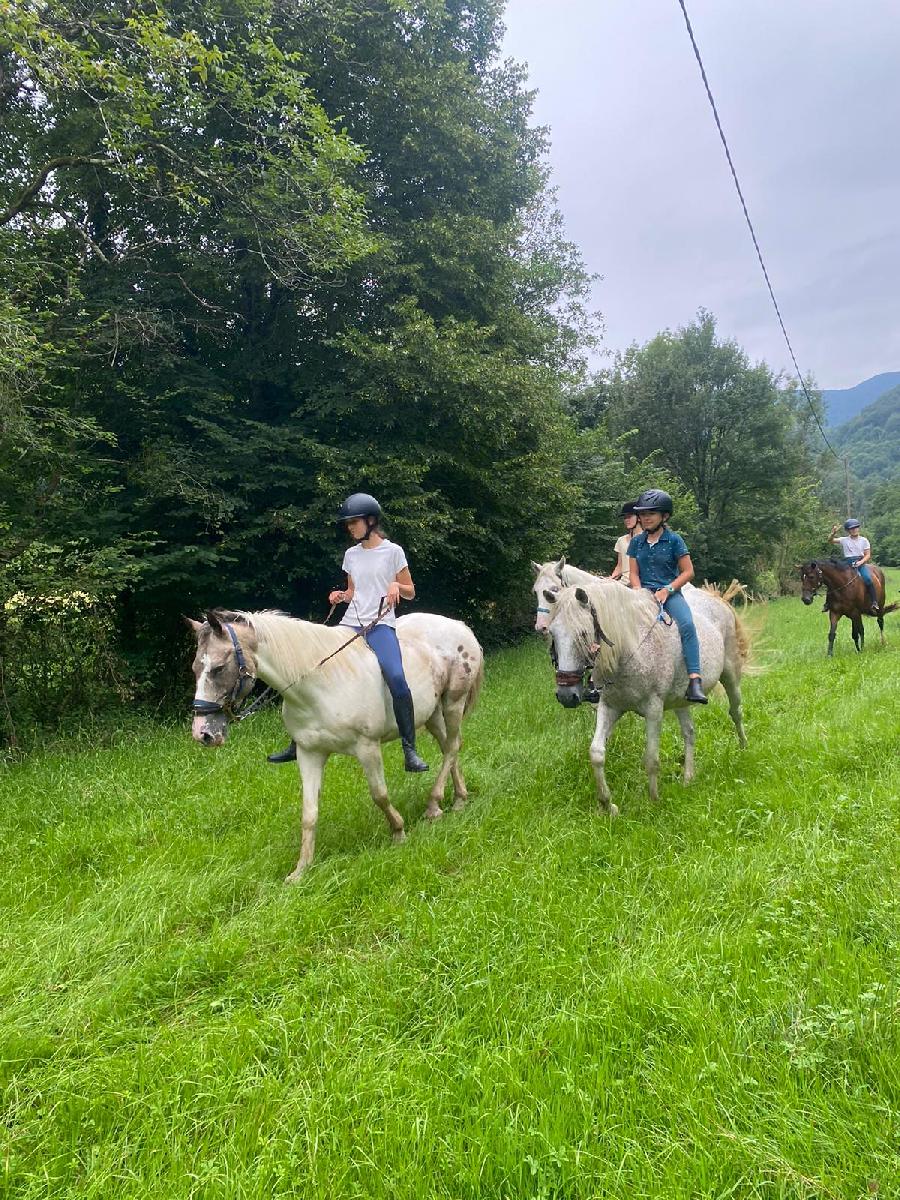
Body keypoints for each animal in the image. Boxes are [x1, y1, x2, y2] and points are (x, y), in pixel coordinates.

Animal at [190, 609, 487, 883]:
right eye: (195, 669)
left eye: (218, 668)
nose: (202, 733)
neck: (318, 685)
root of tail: (459, 626)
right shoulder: (309, 754)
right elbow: (309, 813)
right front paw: (301, 870)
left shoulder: (367, 748)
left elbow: (379, 795)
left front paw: (399, 832)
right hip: (431, 713)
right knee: (449, 747)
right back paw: (459, 797)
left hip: (453, 702)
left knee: (452, 746)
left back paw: (435, 805)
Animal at [547, 576, 748, 811]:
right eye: (552, 633)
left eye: (583, 633)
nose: (566, 695)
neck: (629, 647)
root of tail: (718, 600)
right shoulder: (610, 707)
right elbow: (596, 752)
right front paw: (607, 805)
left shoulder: (654, 710)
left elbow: (651, 758)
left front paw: (653, 800)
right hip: (681, 701)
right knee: (689, 732)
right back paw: (688, 777)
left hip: (730, 675)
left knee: (736, 711)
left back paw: (743, 748)